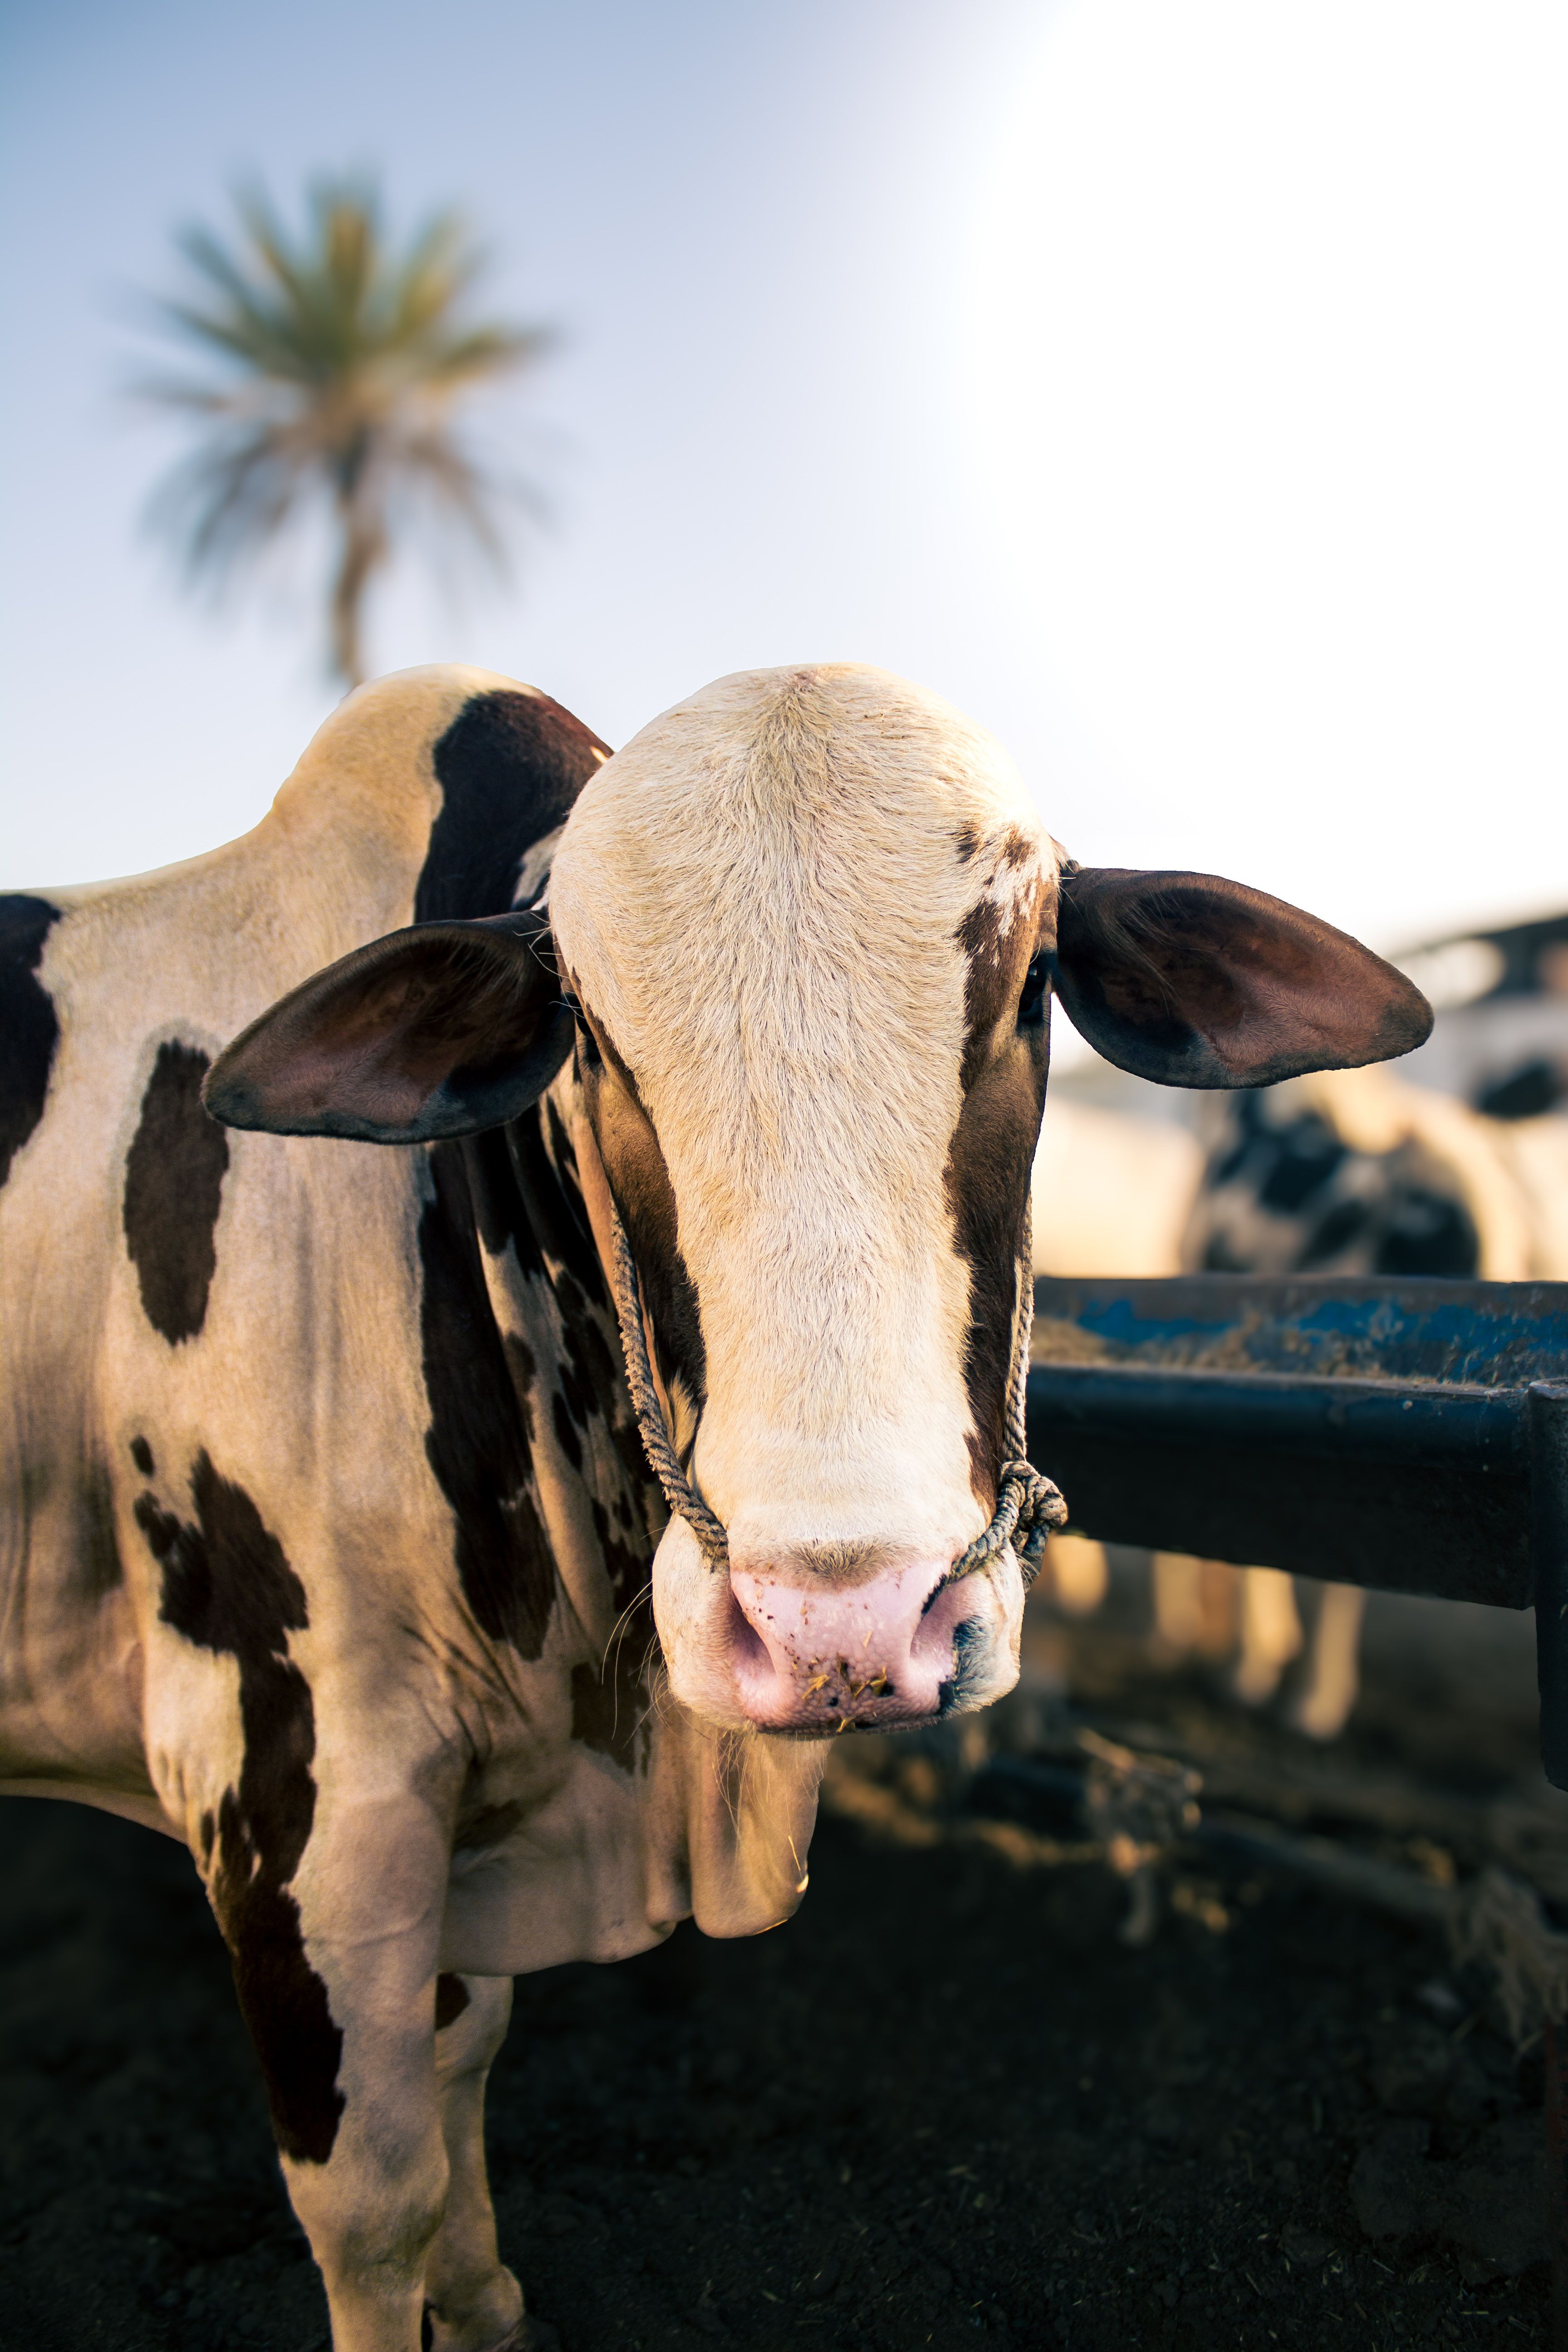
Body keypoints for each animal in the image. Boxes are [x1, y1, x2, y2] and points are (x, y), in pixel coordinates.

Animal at [0, 660, 1431, 2352]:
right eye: (594, 1041)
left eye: (1027, 994)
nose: (845, 1623)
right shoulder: (285, 1784)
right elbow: (372, 2205)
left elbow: (464, 2063)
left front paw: (484, 2302)